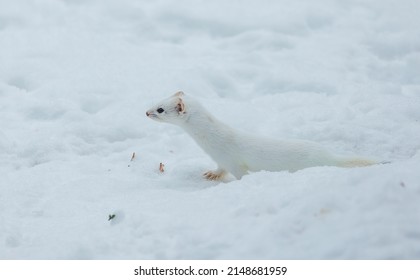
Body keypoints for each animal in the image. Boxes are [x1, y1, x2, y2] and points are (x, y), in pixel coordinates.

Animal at [146, 91, 378, 180]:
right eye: (158, 99)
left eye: (160, 109)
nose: (146, 112)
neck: (211, 143)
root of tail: (329, 156)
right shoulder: (221, 160)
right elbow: (220, 169)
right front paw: (211, 174)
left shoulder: (233, 160)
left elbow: (240, 174)